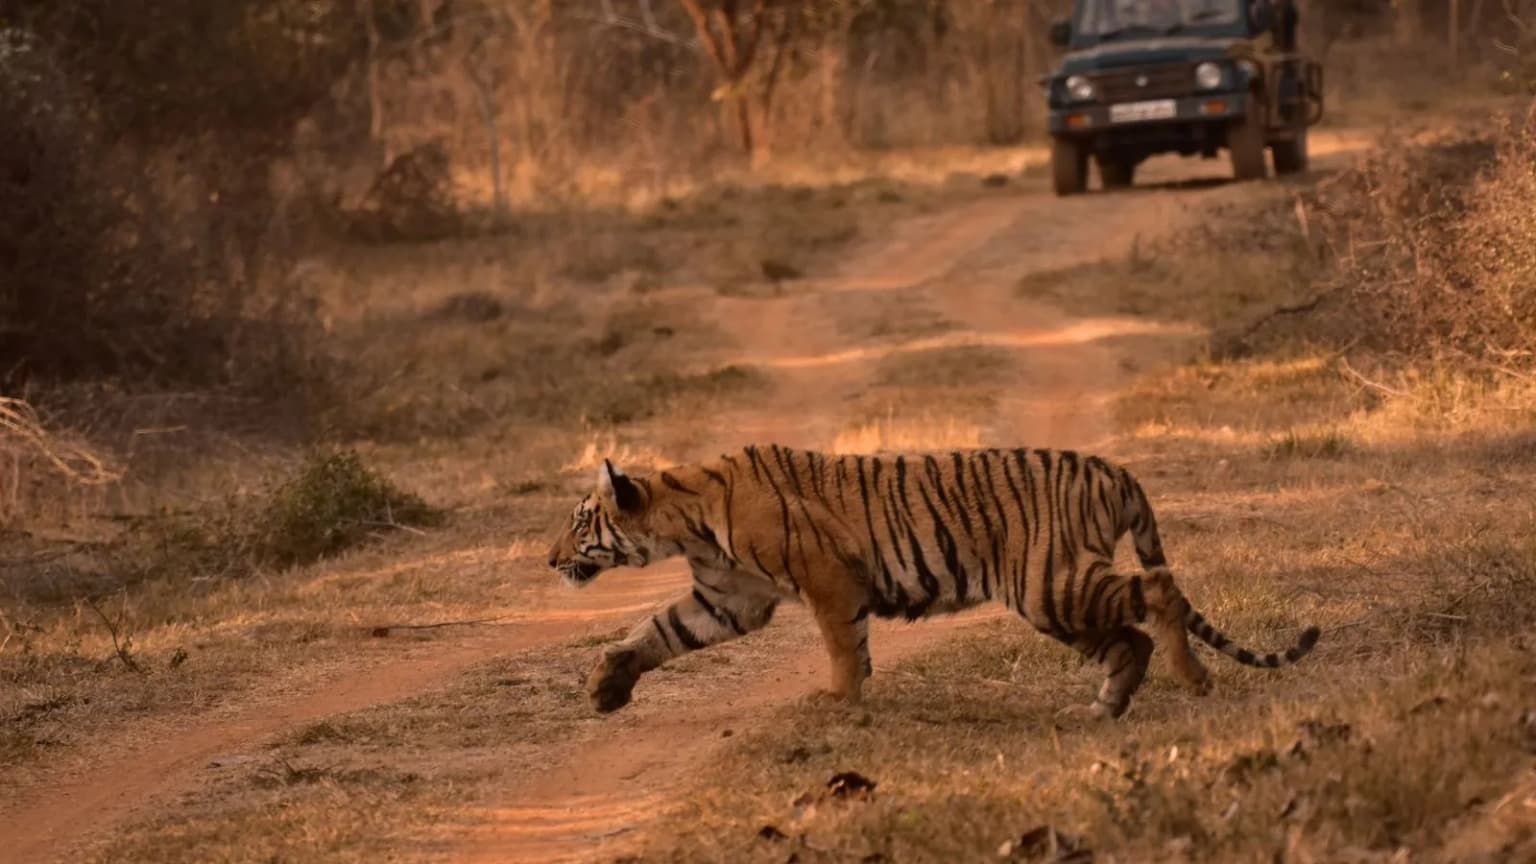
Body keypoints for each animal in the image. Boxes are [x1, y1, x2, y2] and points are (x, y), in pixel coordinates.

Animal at [547, 445, 1320, 718]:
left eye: (580, 521)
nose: (549, 561)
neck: (683, 520)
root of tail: (1114, 469)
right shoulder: (729, 598)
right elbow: (658, 630)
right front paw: (606, 685)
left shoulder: (827, 579)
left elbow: (841, 644)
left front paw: (838, 698)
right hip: (1056, 598)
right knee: (1130, 638)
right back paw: (1106, 706)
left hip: (1049, 582)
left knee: (1158, 597)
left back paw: (1193, 680)